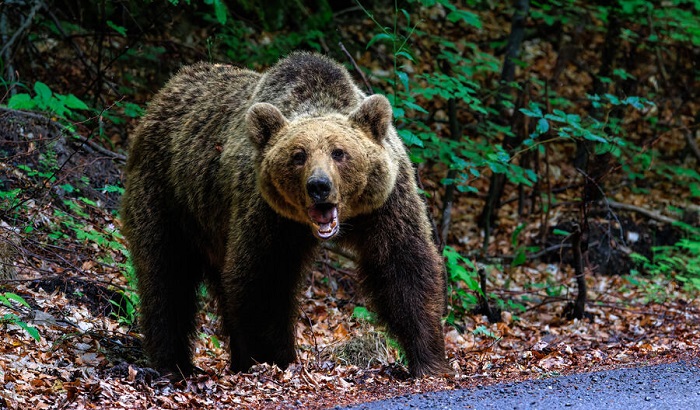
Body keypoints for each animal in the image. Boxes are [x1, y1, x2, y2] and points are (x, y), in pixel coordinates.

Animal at [120, 52, 448, 378]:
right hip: (167, 197)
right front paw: (276, 358)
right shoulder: (268, 214)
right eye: (298, 155)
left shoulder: (385, 204)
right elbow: (264, 279)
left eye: (339, 152)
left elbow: (404, 266)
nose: (319, 186)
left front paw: (428, 359)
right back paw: (174, 363)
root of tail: (164, 93)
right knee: (166, 276)